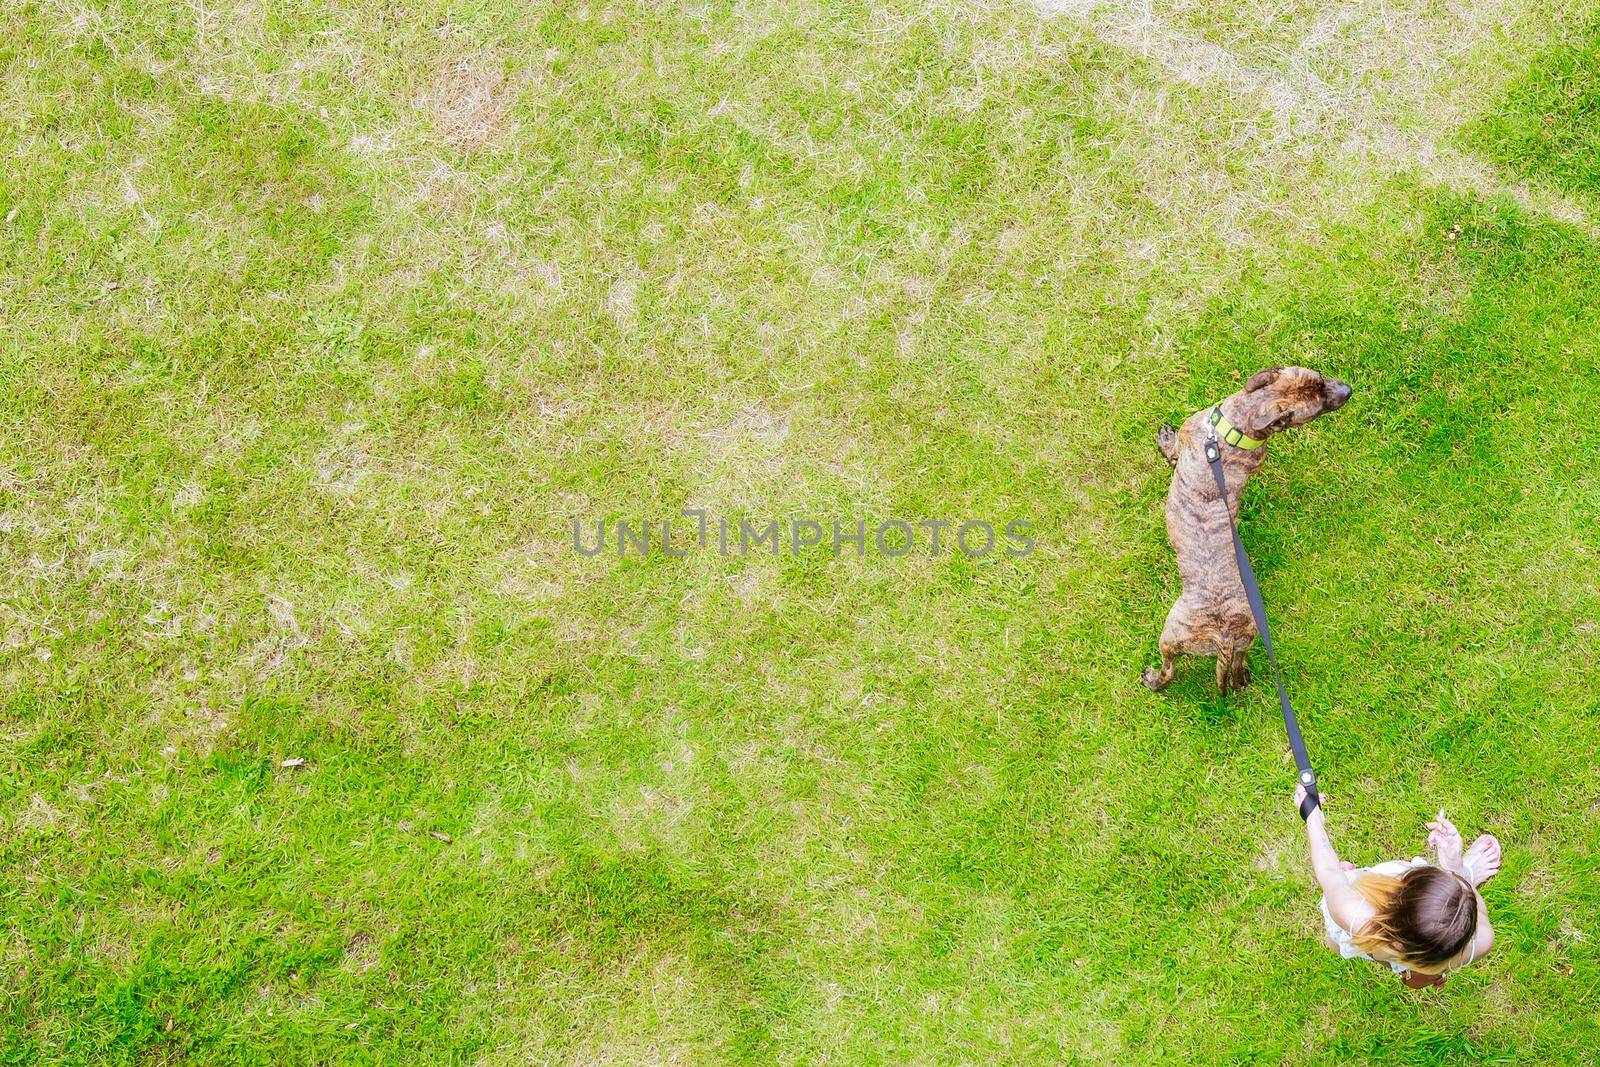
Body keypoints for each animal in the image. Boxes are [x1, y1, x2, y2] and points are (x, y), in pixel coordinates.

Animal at [1139, 371, 1350, 697]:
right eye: (1319, 378)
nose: (1348, 391)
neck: (1236, 430)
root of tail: (1223, 635)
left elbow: (1172, 452)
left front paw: (1165, 440)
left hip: (1172, 633)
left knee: (1169, 668)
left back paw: (1153, 680)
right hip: (1245, 642)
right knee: (1236, 670)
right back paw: (1242, 679)